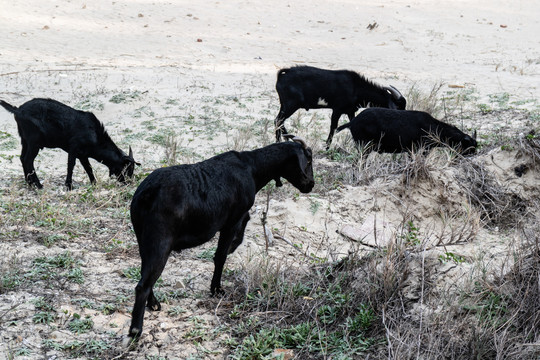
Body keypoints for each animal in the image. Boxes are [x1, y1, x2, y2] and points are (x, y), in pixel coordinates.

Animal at [0, 97, 139, 190]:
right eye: (128, 168)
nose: (127, 183)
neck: (95, 135)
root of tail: (17, 110)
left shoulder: (83, 154)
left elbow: (88, 168)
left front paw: (94, 183)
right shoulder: (74, 148)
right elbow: (71, 165)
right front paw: (69, 186)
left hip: (25, 140)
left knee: (22, 158)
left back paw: (29, 183)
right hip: (34, 142)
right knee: (28, 160)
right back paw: (38, 185)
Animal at [127, 136, 314, 340]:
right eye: (308, 161)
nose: (311, 184)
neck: (252, 166)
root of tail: (145, 194)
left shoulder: (239, 215)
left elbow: (245, 221)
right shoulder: (231, 221)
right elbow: (221, 255)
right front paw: (216, 288)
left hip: (143, 238)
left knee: (145, 272)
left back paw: (153, 303)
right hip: (160, 240)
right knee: (143, 284)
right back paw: (136, 330)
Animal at [274, 65, 404, 148]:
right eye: (397, 107)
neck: (356, 87)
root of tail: (283, 74)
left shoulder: (350, 111)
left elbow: (352, 123)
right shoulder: (337, 110)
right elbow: (333, 127)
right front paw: (327, 147)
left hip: (285, 105)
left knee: (279, 121)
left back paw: (285, 138)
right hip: (291, 105)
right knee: (278, 120)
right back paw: (280, 140)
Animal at [338, 108, 476, 156]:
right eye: (469, 147)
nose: (473, 154)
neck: (433, 127)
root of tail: (353, 122)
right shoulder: (418, 150)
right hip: (364, 147)